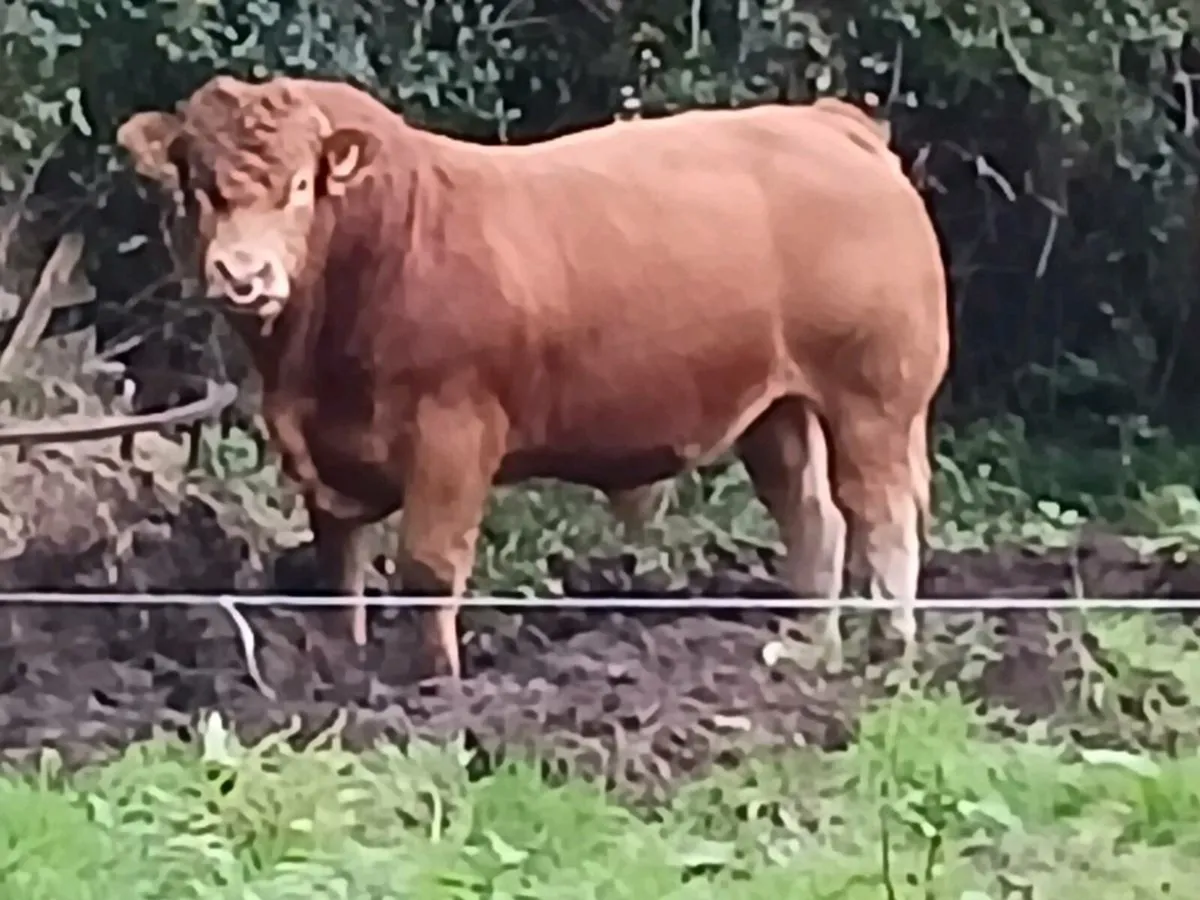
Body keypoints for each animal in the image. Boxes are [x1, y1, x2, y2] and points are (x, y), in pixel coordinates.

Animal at [116, 76, 949, 678]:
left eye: (298, 187)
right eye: (199, 188)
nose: (243, 275)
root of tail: (828, 123)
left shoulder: (453, 432)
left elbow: (428, 566)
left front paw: (434, 685)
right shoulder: (324, 456)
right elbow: (341, 570)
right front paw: (344, 667)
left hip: (876, 397)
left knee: (884, 519)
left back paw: (892, 656)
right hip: (778, 411)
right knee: (815, 522)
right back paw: (812, 652)